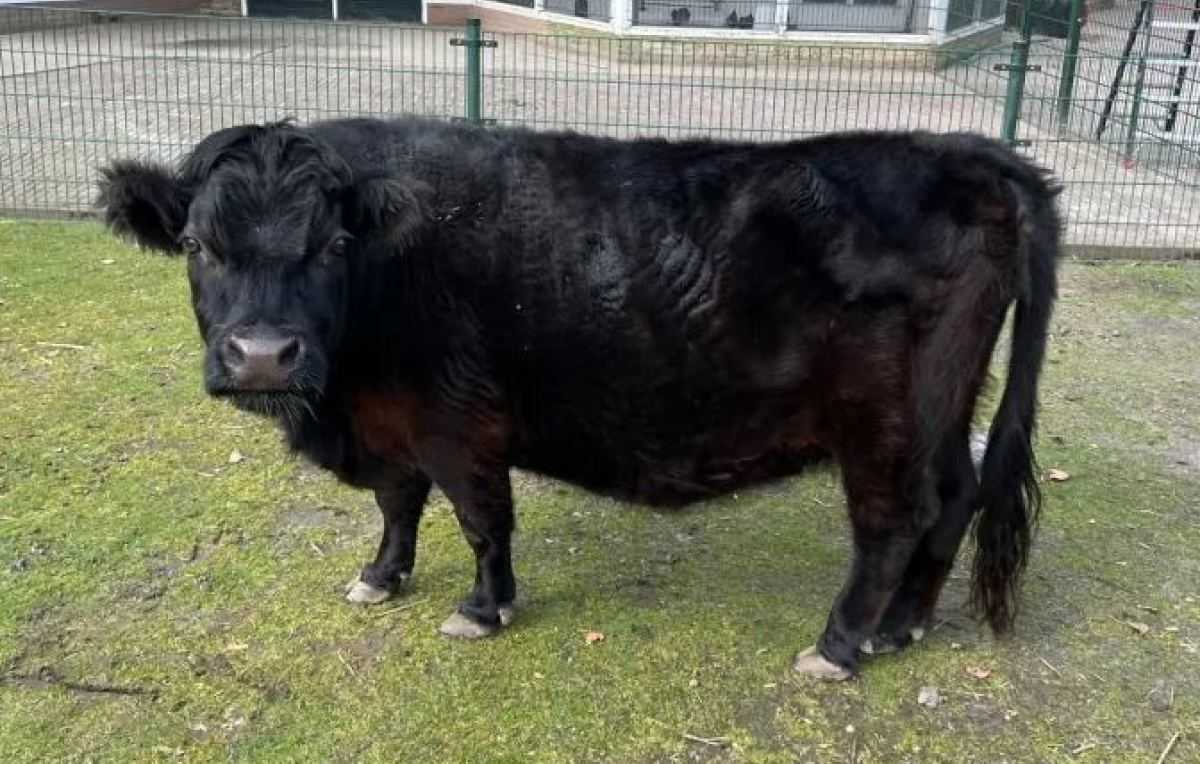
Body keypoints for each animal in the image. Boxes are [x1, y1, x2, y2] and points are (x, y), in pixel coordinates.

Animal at [96, 116, 1060, 679]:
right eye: (197, 244)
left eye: (333, 243)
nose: (263, 357)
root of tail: (966, 152)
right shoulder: (390, 423)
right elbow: (398, 504)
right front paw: (380, 576)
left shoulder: (457, 422)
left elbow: (482, 520)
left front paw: (481, 610)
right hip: (945, 407)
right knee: (957, 497)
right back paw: (901, 627)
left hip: (883, 422)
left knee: (892, 523)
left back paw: (840, 645)